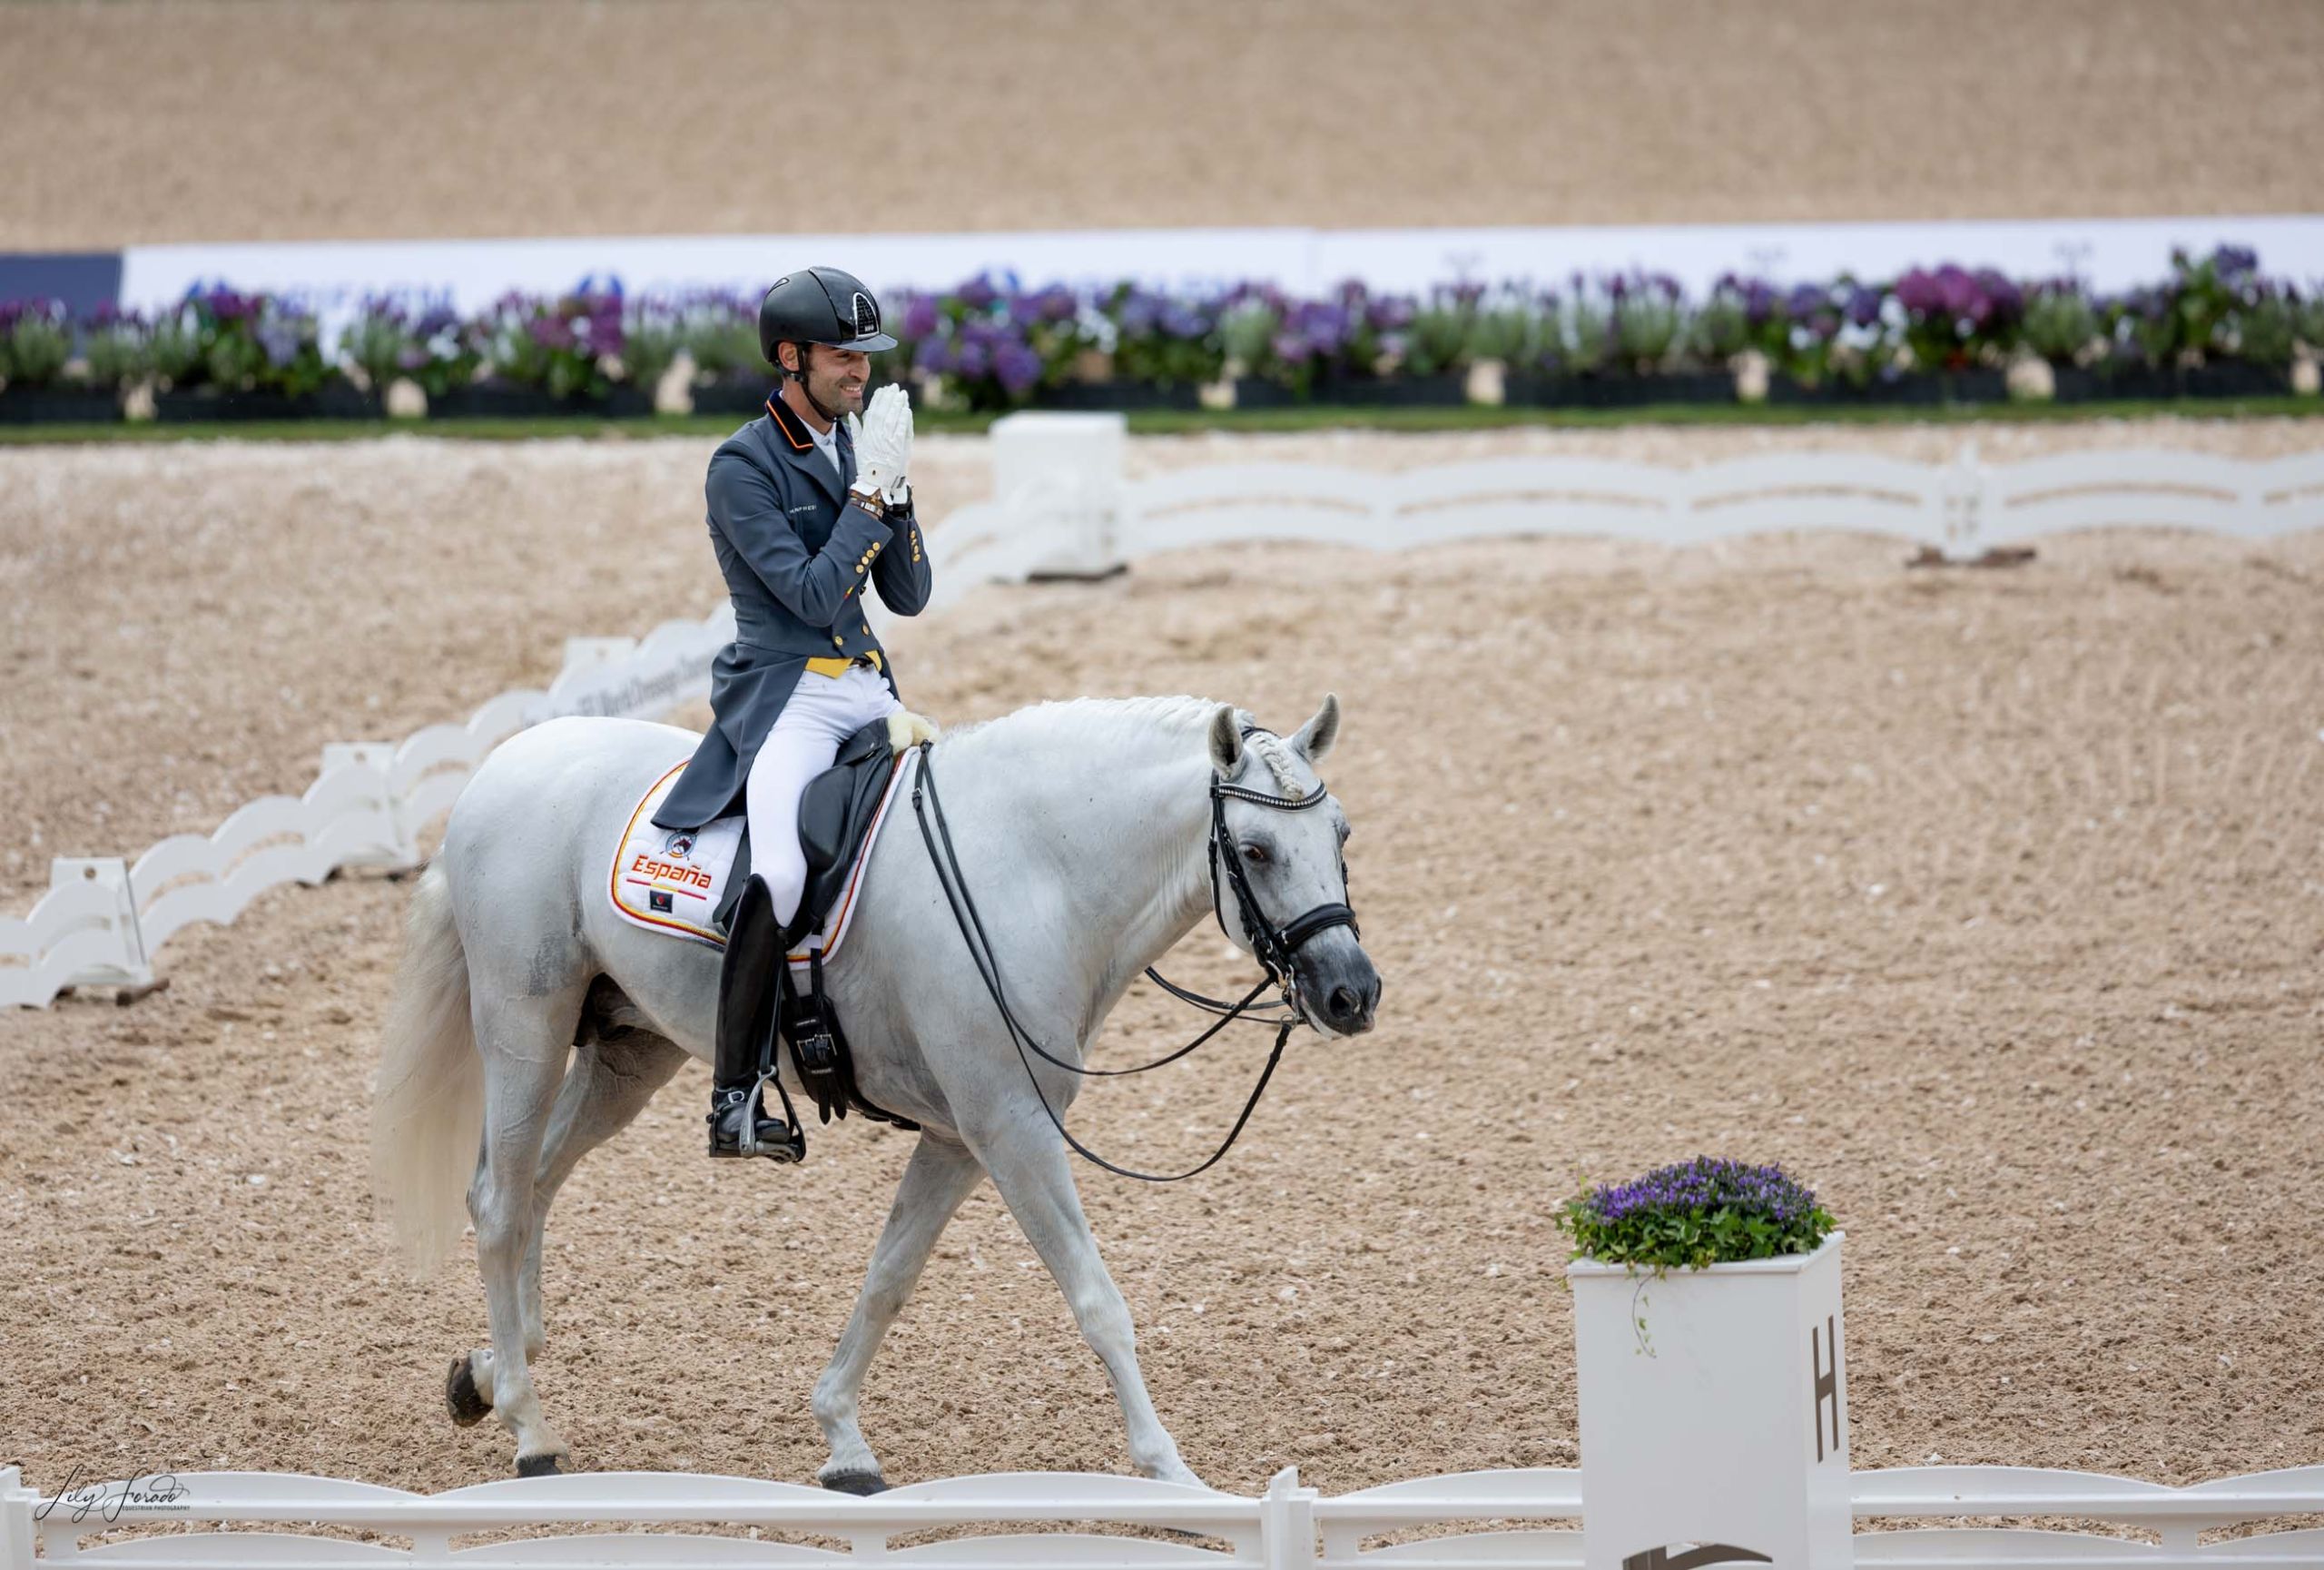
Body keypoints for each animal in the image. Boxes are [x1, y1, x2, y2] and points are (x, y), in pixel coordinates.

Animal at [364, 697, 1375, 1488]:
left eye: (1339, 837)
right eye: (1256, 848)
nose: (1351, 993)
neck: (1031, 872)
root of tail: (499, 769)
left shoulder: (961, 1138)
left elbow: (890, 1276)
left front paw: (842, 1437)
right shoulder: (1011, 1130)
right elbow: (1097, 1299)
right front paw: (1170, 1470)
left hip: (626, 1053)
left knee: (534, 1185)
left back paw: (487, 1374)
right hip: (524, 1024)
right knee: (500, 1200)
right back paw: (529, 1429)